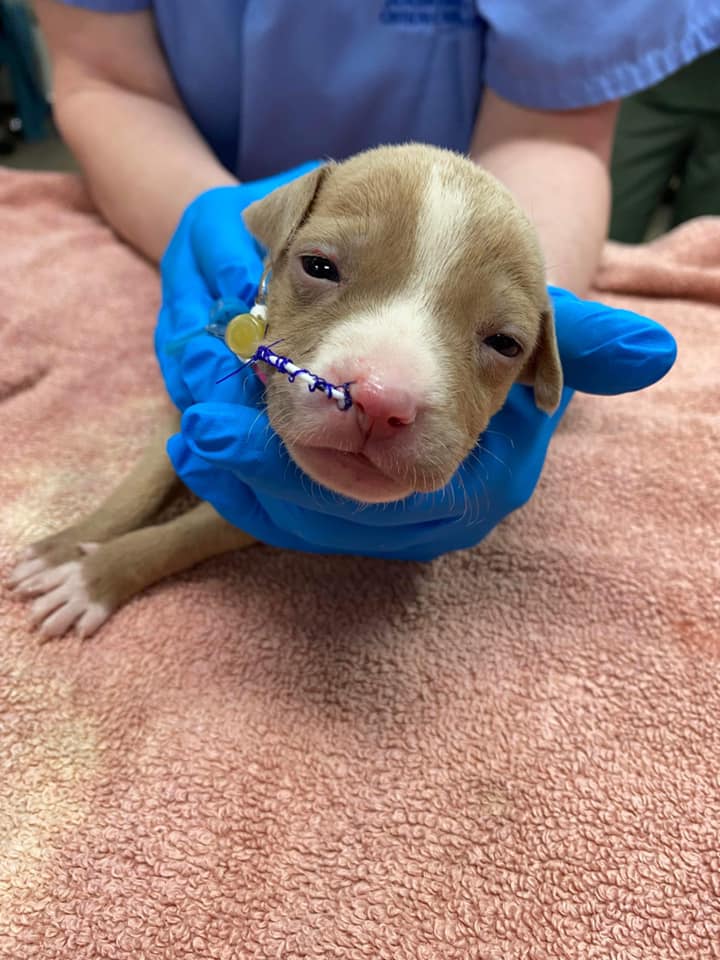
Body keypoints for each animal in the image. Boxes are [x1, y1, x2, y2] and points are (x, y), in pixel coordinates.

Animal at [9, 142, 564, 636]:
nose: (379, 400)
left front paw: (93, 575)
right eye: (319, 266)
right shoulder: (188, 405)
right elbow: (139, 484)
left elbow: (184, 534)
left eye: (505, 343)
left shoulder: (271, 510)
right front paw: (65, 549)